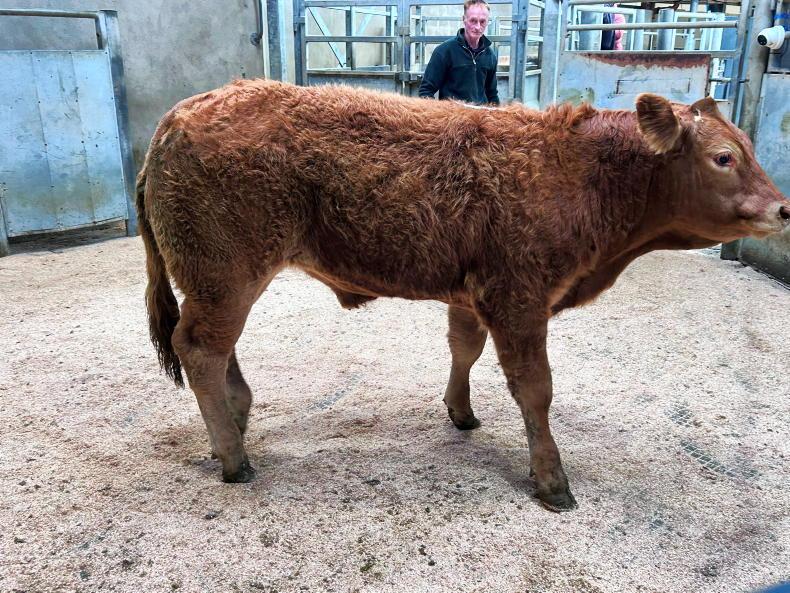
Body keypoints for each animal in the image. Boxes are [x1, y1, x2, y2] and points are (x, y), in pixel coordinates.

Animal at [136, 79, 789, 512]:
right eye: (724, 157)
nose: (783, 209)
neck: (578, 169)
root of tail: (180, 114)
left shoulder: (471, 294)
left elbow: (463, 348)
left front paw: (461, 411)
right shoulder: (519, 297)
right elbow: (535, 389)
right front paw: (552, 481)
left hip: (219, 279)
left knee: (218, 349)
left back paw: (238, 417)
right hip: (227, 273)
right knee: (201, 347)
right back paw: (234, 456)